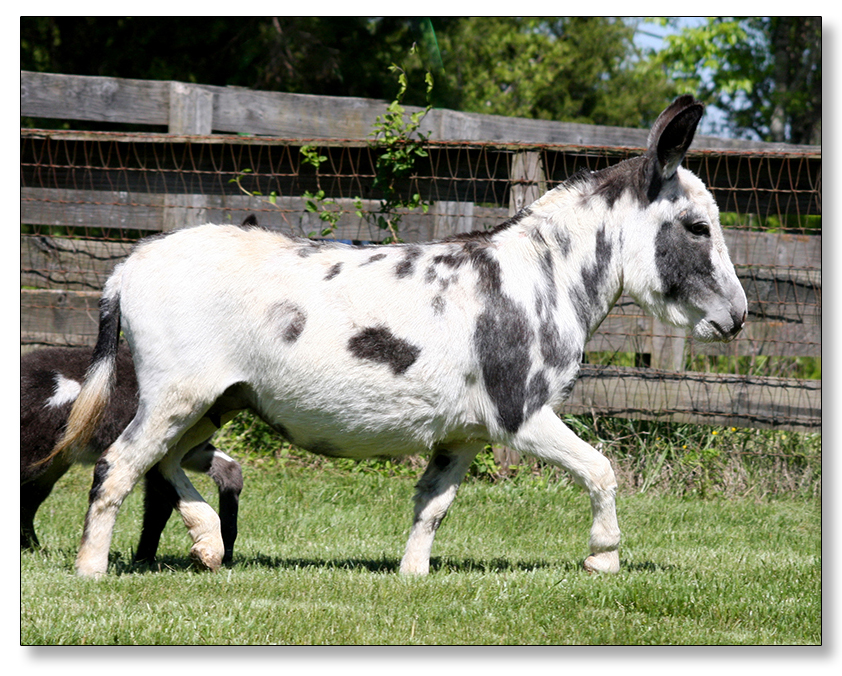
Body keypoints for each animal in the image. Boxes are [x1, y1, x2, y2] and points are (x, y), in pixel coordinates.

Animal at [51, 97, 746, 578]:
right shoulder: (519, 415)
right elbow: (601, 469)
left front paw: (412, 576)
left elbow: (432, 504)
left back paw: (207, 544)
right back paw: (93, 569)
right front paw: (603, 557)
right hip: (179, 395)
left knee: (168, 463)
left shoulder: (464, 434)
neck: (542, 276)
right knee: (120, 465)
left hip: (216, 399)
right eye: (697, 227)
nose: (738, 318)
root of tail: (131, 264)